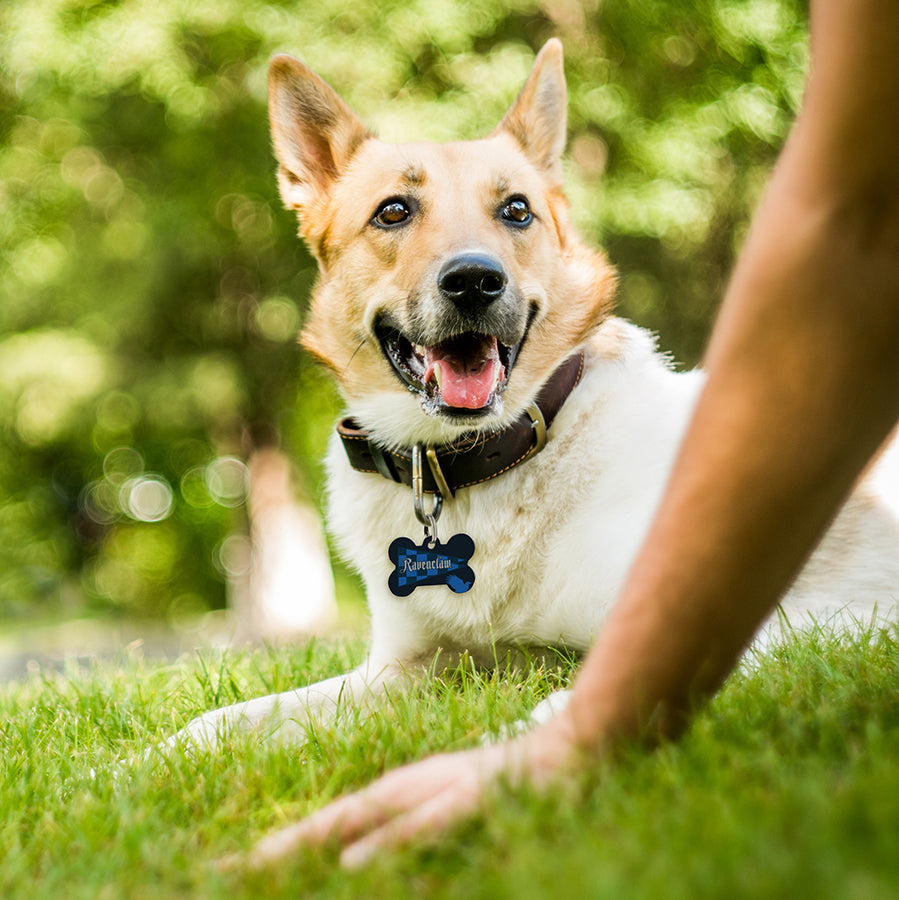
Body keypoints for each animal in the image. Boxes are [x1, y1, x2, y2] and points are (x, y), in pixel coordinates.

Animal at [165, 37, 899, 752]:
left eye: (516, 210)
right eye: (392, 211)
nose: (473, 281)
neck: (478, 461)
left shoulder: (779, 628)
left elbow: (558, 710)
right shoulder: (407, 667)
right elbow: (228, 721)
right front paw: (142, 765)